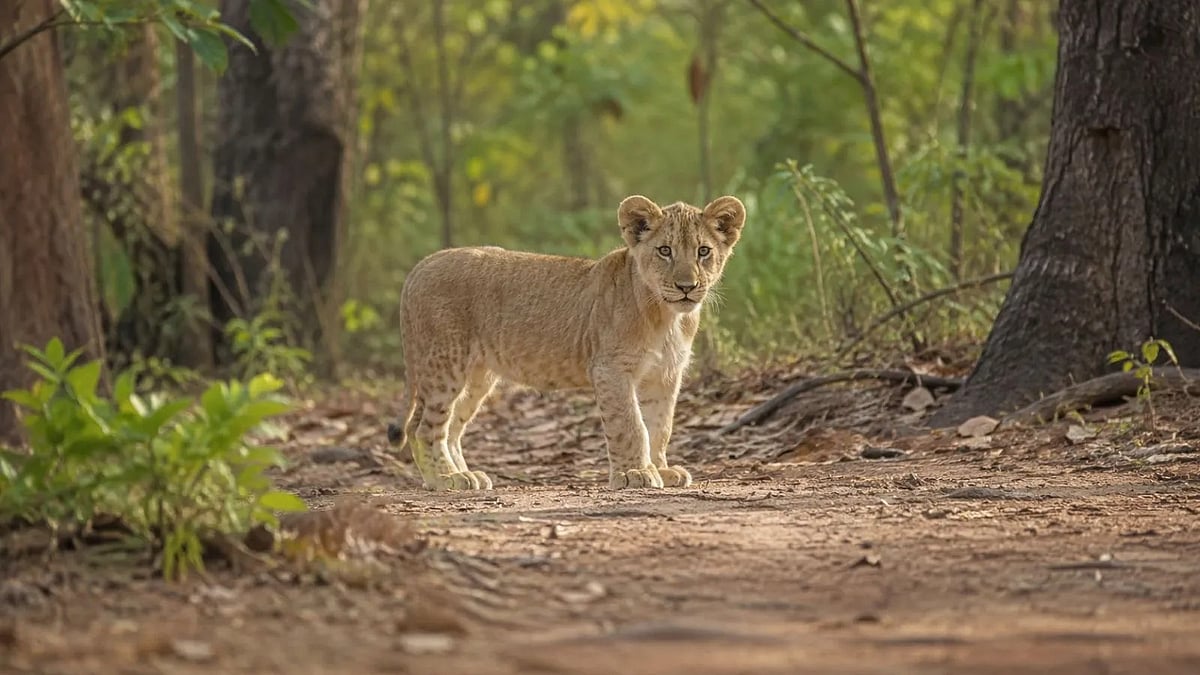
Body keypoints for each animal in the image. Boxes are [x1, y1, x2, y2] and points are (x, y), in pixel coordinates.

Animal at [386, 194, 747, 491]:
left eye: (703, 251)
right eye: (665, 251)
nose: (687, 286)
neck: (667, 317)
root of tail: (421, 266)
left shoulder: (665, 375)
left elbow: (660, 426)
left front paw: (661, 469)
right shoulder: (611, 368)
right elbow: (631, 424)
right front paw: (635, 474)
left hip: (476, 376)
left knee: (450, 427)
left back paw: (464, 474)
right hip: (446, 363)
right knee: (423, 427)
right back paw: (446, 479)